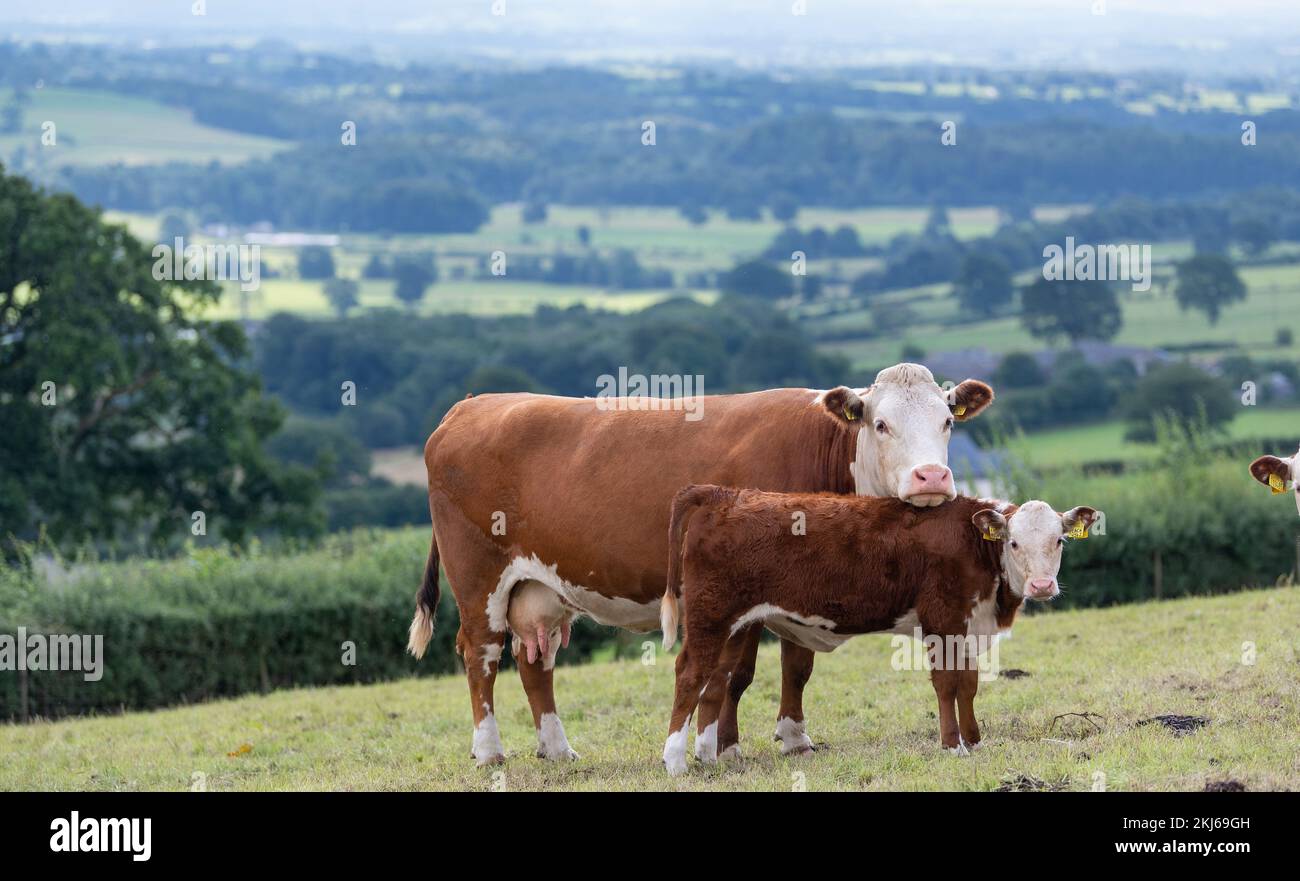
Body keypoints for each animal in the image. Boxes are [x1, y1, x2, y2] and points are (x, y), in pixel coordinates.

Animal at [408, 363, 993, 764]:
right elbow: (736, 673)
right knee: (481, 654)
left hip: (539, 587)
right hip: (478, 579)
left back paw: (557, 749)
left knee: (535, 662)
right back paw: (489, 751)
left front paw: (793, 738)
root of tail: (469, 406)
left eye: (947, 420)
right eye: (880, 424)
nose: (932, 477)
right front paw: (724, 747)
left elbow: (795, 666)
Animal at [660, 485, 1097, 774]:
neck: (975, 545)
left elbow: (969, 684)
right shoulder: (941, 619)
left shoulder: (967, 625)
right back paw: (675, 761)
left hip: (734, 626)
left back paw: (709, 756)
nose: (1042, 586)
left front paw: (974, 740)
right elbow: (947, 685)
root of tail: (721, 494)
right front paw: (951, 746)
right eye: (1015, 543)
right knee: (690, 675)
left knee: (717, 681)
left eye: (1059, 540)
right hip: (710, 617)